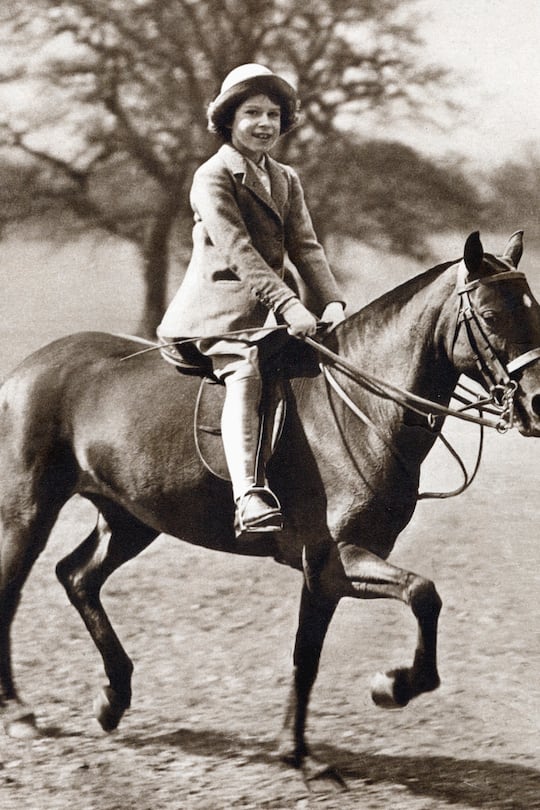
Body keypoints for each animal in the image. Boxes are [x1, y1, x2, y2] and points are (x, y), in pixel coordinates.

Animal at [1, 231, 539, 781]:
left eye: (534, 309)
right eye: (490, 314)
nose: (536, 405)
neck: (363, 407)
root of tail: (26, 369)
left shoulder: (330, 571)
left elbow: (312, 653)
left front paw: (298, 749)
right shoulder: (334, 558)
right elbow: (419, 595)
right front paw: (388, 689)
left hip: (129, 518)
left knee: (78, 576)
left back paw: (113, 697)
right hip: (27, 513)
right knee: (14, 592)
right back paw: (21, 712)